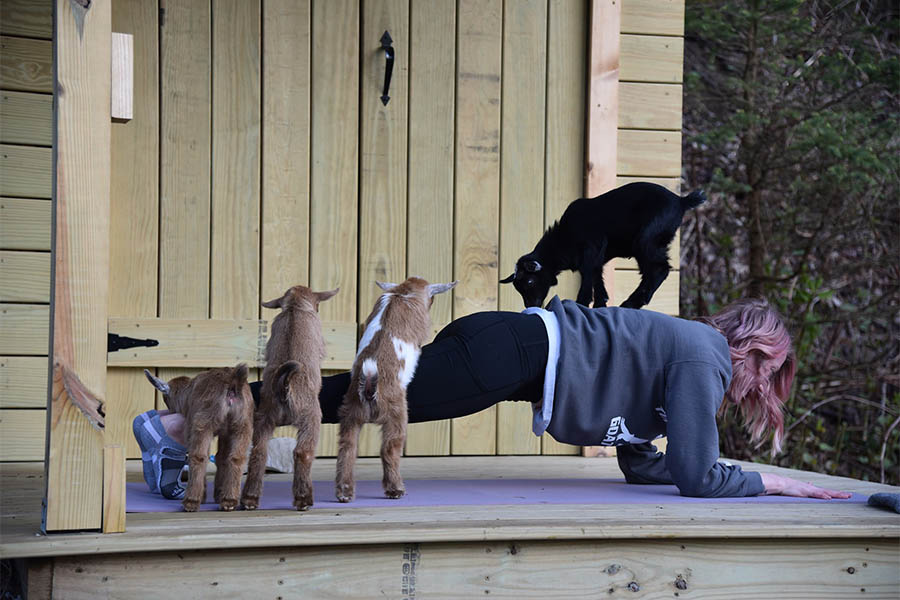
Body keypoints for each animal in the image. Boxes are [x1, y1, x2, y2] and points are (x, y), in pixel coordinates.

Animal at [143, 366, 253, 510]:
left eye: (166, 400)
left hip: (203, 423)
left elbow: (203, 456)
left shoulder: (193, 427)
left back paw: (191, 502)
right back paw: (229, 500)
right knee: (237, 458)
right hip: (242, 425)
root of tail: (233, 382)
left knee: (198, 457)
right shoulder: (225, 433)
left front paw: (204, 497)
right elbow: (222, 458)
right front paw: (218, 495)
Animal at [239, 284, 338, 508]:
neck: (294, 307)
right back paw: (303, 499)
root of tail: (284, 386)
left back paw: (250, 498)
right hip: (311, 419)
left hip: (264, 420)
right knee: (302, 453)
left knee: (258, 453)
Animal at [336, 276, 458, 502]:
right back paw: (395, 489)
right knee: (389, 449)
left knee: (347, 448)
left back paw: (345, 492)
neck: (402, 292)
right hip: (397, 414)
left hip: (351, 414)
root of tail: (369, 381)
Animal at [500, 183, 704, 310]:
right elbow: (597, 276)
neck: (563, 238)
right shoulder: (598, 255)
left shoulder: (591, 248)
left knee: (659, 269)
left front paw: (581, 303)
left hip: (647, 239)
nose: (531, 306)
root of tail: (681, 201)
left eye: (529, 282)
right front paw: (601, 303)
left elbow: (587, 275)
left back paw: (632, 303)